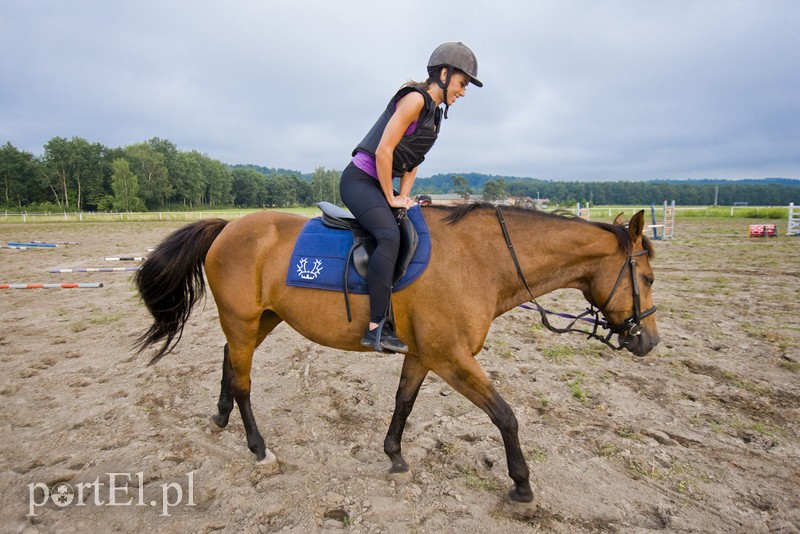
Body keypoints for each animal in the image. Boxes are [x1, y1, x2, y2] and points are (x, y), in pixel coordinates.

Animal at [136, 204, 656, 506]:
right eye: (647, 278)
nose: (648, 341)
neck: (480, 258)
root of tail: (228, 228)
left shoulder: (425, 356)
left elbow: (403, 403)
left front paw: (395, 456)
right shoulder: (452, 359)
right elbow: (505, 416)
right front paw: (522, 485)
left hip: (261, 321)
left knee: (230, 361)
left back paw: (220, 416)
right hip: (244, 320)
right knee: (244, 382)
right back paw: (259, 449)